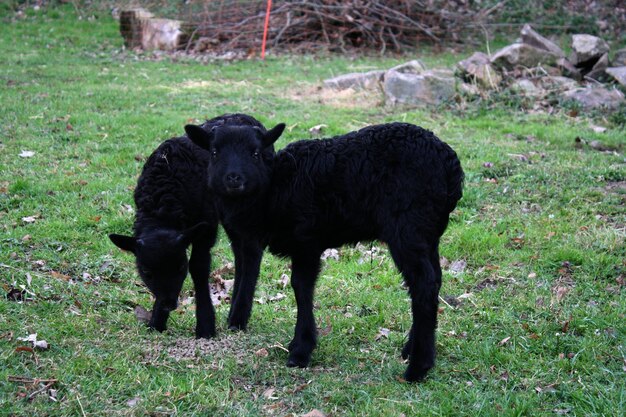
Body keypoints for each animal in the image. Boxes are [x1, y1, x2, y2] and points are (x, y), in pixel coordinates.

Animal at [109, 113, 266, 338]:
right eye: (146, 272)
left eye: (181, 267)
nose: (169, 304)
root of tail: (246, 117)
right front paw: (157, 322)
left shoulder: (206, 225)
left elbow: (199, 267)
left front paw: (205, 327)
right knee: (240, 252)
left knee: (252, 251)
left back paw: (238, 318)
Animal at [183, 120, 460, 380]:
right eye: (215, 152)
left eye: (255, 153)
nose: (234, 179)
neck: (274, 189)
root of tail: (450, 166)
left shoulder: (306, 240)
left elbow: (301, 287)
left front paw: (300, 351)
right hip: (428, 233)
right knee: (433, 280)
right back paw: (410, 349)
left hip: (407, 226)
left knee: (423, 284)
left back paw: (418, 367)